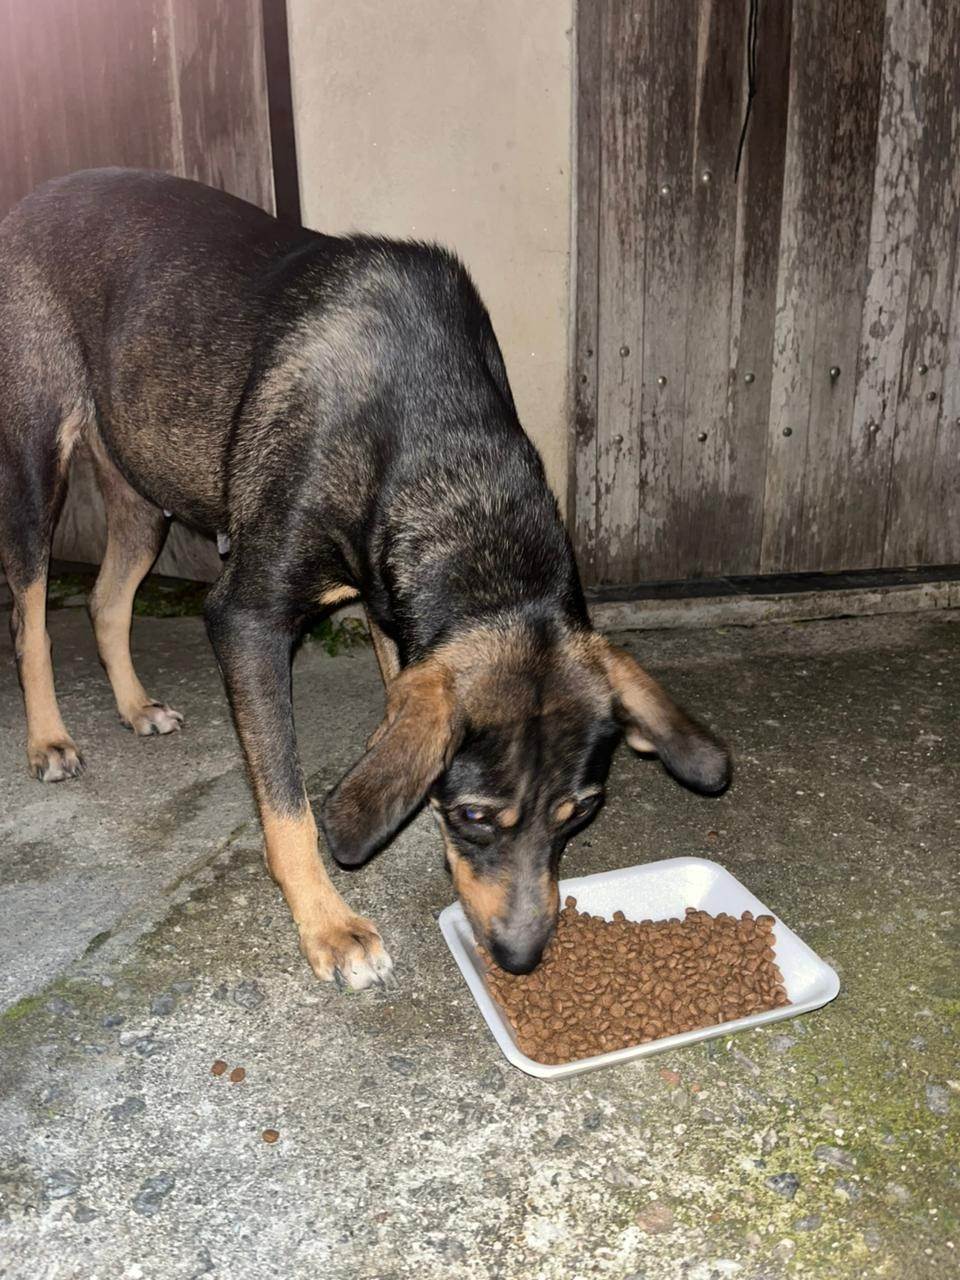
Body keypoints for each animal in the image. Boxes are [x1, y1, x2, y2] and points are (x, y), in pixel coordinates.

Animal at [0, 169, 730, 988]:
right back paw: (49, 739)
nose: (520, 959)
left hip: (142, 493)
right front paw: (327, 924)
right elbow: (288, 803)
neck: (446, 453)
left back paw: (133, 706)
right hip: (35, 464)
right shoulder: (246, 618)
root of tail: (34, 197)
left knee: (104, 599)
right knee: (29, 616)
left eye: (581, 813)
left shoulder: (393, 613)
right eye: (475, 816)